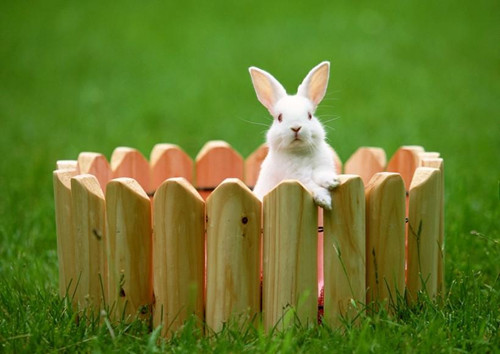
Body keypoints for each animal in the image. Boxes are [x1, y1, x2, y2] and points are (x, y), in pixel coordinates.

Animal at [249, 61, 340, 210]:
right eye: (279, 118)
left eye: (310, 116)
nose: (296, 127)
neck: (300, 152)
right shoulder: (298, 178)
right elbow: (313, 187)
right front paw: (325, 201)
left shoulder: (323, 166)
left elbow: (322, 175)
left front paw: (333, 182)